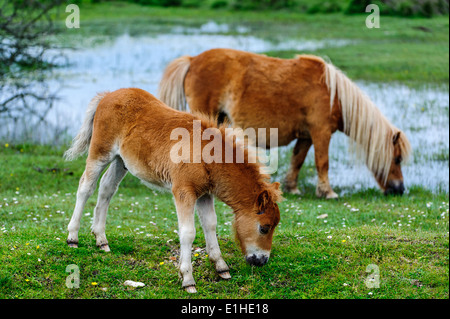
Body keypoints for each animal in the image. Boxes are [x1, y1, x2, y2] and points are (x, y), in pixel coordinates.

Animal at [63, 89, 282, 294]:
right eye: (264, 227)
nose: (262, 260)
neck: (207, 154)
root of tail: (108, 95)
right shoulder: (183, 191)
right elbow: (188, 232)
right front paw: (188, 279)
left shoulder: (204, 194)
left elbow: (210, 225)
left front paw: (221, 267)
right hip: (101, 151)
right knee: (86, 187)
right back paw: (72, 237)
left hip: (120, 161)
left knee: (107, 189)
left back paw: (101, 240)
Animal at [158, 48, 412, 199]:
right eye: (397, 159)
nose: (400, 189)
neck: (333, 94)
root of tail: (193, 60)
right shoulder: (321, 133)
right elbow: (323, 162)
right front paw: (327, 192)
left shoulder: (306, 136)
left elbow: (297, 161)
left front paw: (292, 187)